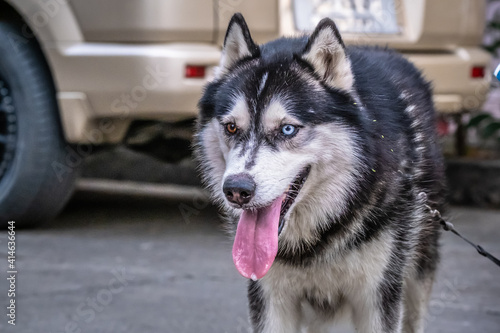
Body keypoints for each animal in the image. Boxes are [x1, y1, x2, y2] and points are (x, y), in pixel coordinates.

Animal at [194, 13, 446, 332]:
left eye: (287, 129)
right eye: (231, 127)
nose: (237, 190)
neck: (315, 240)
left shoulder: (377, 298)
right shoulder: (271, 298)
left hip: (417, 270)